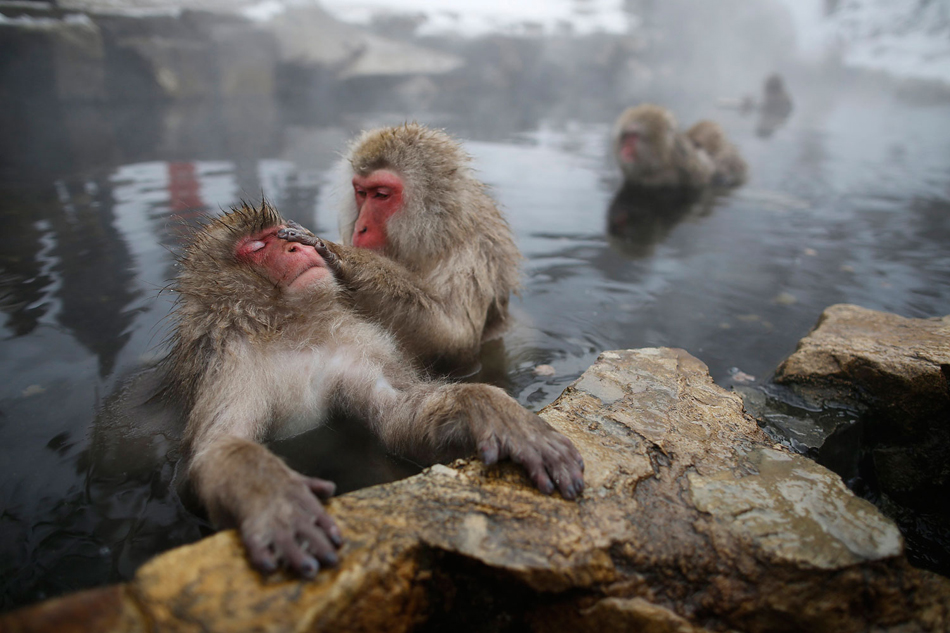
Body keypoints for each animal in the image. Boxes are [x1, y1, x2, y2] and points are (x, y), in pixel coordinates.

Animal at [162, 201, 580, 576]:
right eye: (258, 246)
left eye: (282, 235)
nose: (297, 249)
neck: (290, 331)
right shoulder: (229, 368)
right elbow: (216, 448)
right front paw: (271, 496)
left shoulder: (353, 347)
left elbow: (396, 413)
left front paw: (489, 409)